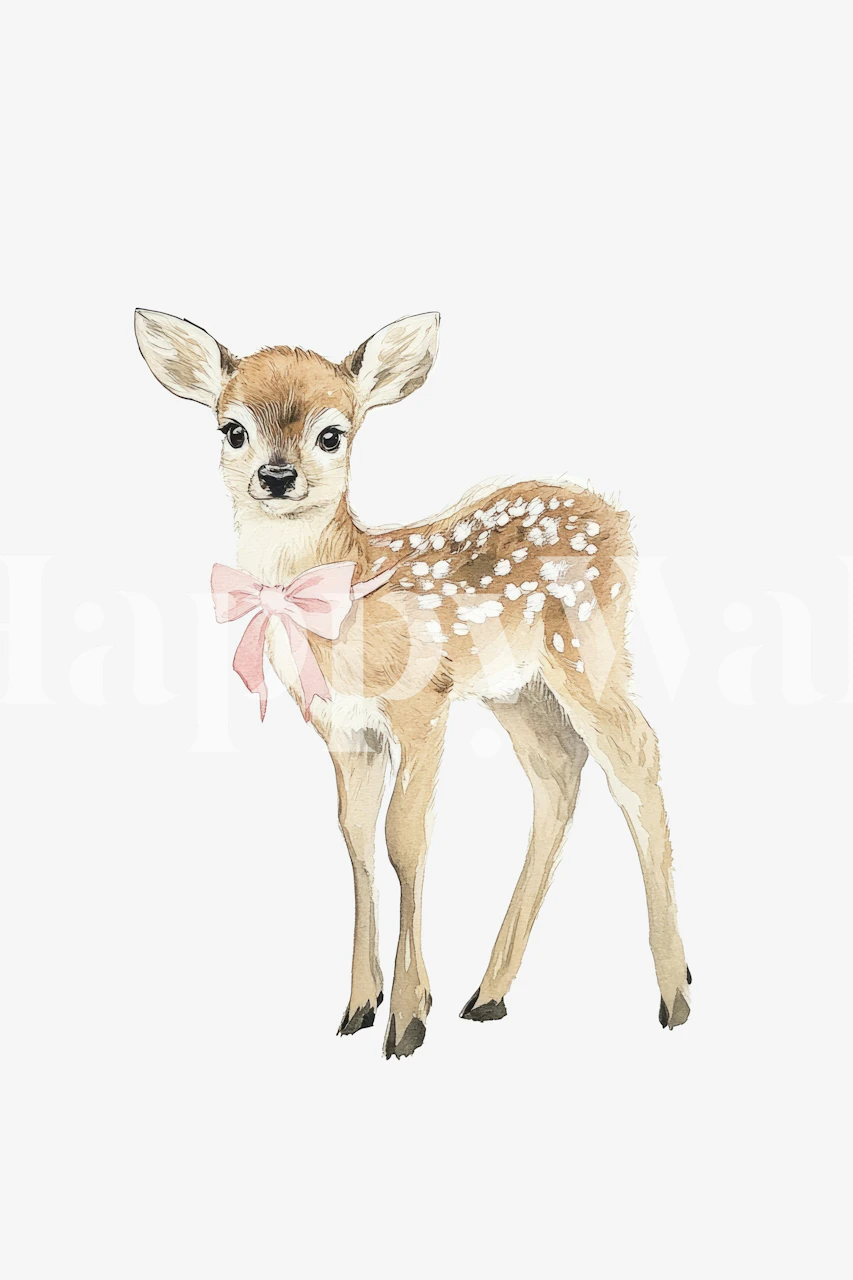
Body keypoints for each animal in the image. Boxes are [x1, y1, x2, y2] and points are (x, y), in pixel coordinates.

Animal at [134, 308, 691, 1059]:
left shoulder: (421, 703)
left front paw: (405, 1019)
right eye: (233, 429)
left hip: (587, 645)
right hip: (516, 689)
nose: (276, 476)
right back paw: (488, 994)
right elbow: (355, 838)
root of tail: (617, 518)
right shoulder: (344, 729)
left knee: (635, 758)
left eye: (332, 433)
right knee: (556, 771)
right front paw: (358, 1006)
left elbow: (406, 837)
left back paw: (674, 994)